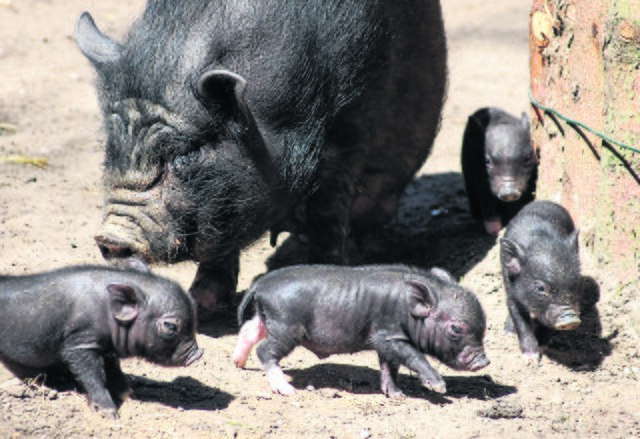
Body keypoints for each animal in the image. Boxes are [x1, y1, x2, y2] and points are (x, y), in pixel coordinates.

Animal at [0, 264, 201, 420]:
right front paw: (110, 414)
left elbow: (114, 369)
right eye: (170, 326)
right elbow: (94, 376)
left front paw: (129, 394)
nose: (198, 354)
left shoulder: (107, 348)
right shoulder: (80, 343)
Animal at [74, 0, 444, 316]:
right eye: (111, 144)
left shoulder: (349, 132)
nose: (110, 236)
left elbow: (327, 214)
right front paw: (201, 305)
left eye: (185, 152)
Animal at [232, 264, 488, 398]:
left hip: (269, 319)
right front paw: (441, 387)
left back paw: (238, 364)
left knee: (249, 329)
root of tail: (260, 285)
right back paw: (288, 390)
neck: (406, 308)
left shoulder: (385, 341)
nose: (484, 362)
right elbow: (414, 356)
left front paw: (397, 395)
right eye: (456, 328)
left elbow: (389, 368)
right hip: (287, 327)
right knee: (265, 351)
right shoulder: (389, 335)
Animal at [500, 201, 584, 366]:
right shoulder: (511, 293)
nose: (571, 318)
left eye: (576, 283)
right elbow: (521, 323)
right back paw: (507, 332)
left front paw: (543, 349)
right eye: (540, 288)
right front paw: (531, 361)